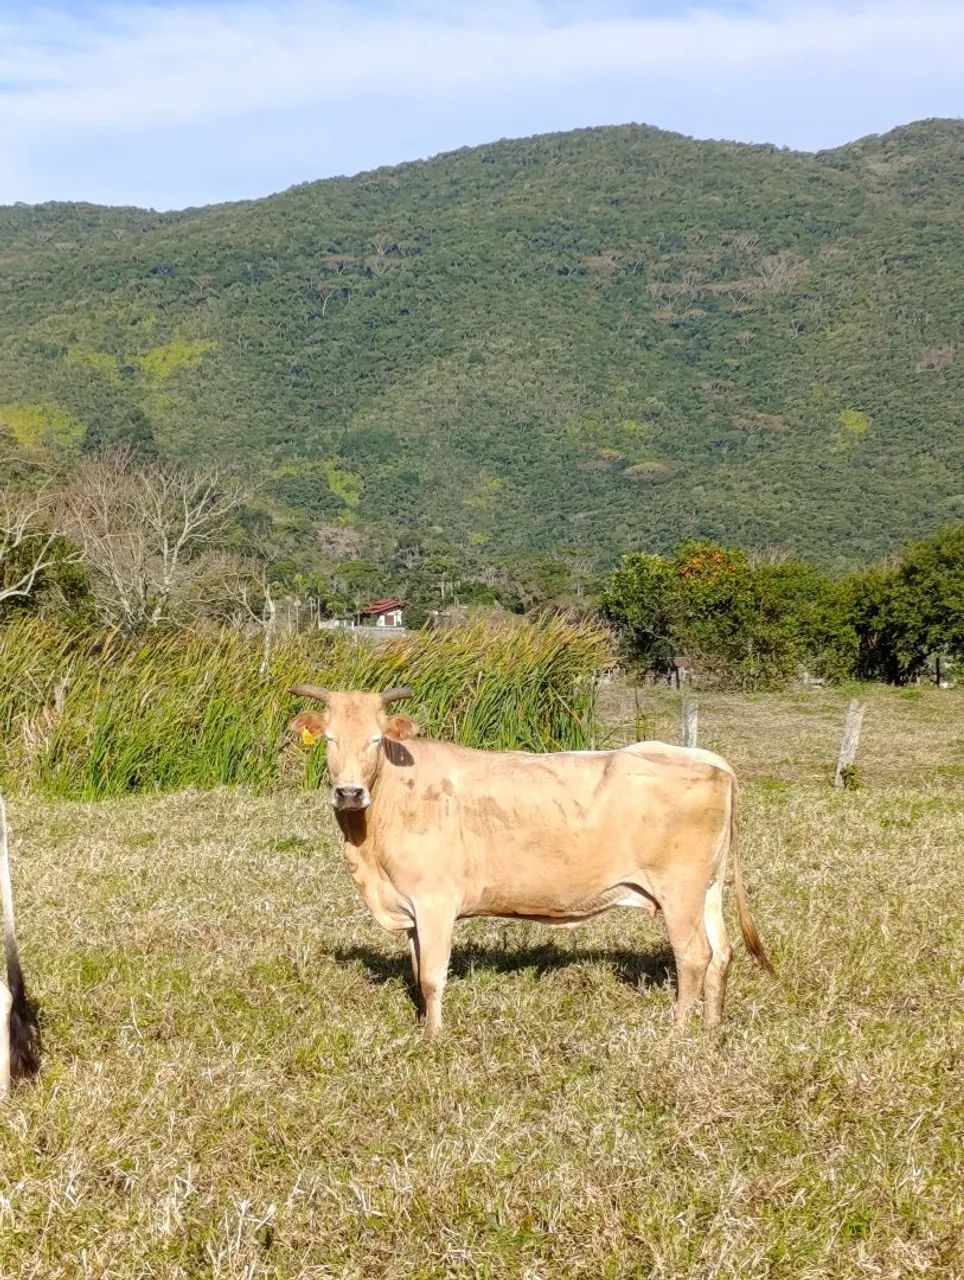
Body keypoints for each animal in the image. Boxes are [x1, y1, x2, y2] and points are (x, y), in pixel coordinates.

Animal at [288, 685, 773, 1037]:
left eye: (375, 739)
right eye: (329, 739)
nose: (349, 792)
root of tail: (706, 757)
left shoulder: (435, 902)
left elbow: (431, 976)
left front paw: (433, 1037)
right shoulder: (410, 907)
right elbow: (416, 969)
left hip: (680, 890)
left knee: (694, 955)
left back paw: (679, 1031)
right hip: (707, 889)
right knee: (722, 954)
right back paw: (711, 1027)